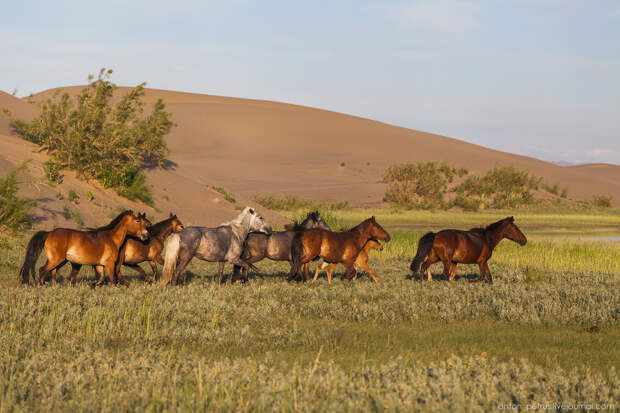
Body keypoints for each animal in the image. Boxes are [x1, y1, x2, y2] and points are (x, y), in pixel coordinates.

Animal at [19, 211, 150, 284]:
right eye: (138, 221)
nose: (146, 235)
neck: (111, 238)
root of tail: (49, 233)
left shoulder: (99, 265)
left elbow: (101, 279)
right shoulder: (109, 264)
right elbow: (112, 280)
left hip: (59, 261)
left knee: (52, 272)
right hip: (56, 259)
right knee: (42, 270)